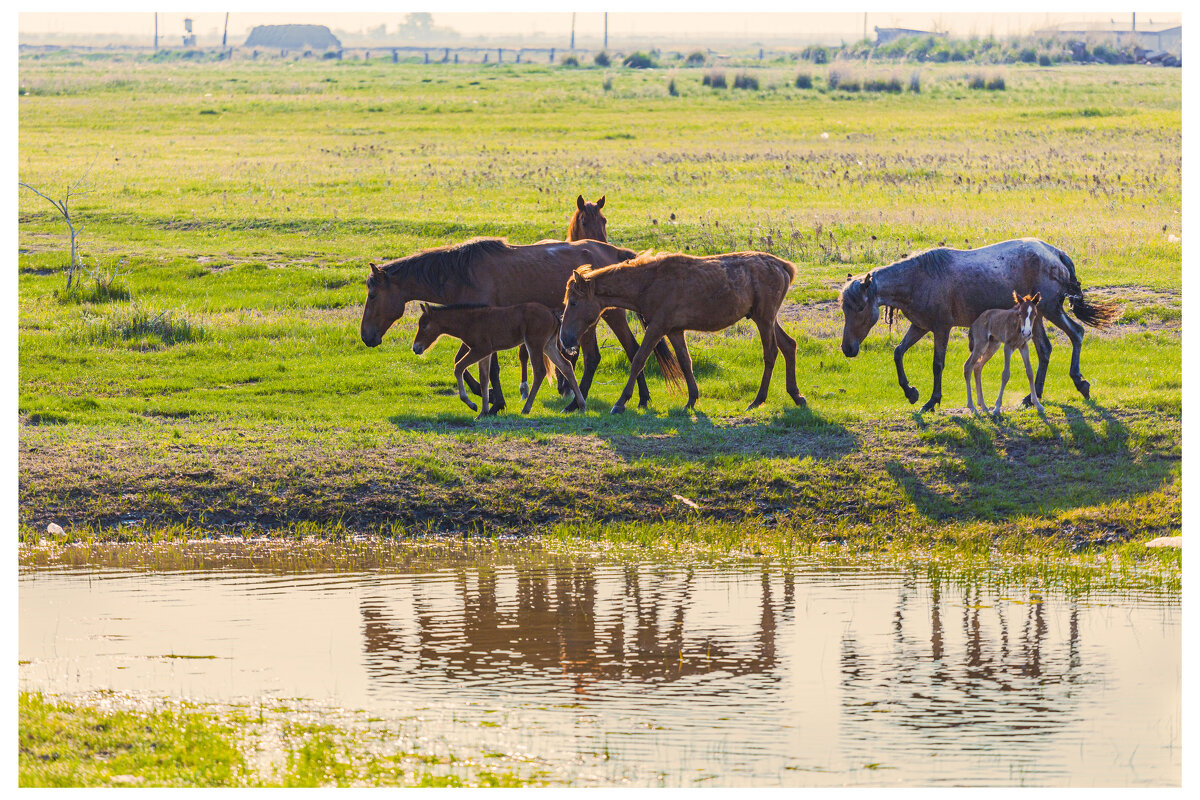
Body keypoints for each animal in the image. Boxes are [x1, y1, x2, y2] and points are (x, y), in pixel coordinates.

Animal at [554, 250, 801, 412]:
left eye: (573, 302)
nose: (565, 339)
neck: (649, 282)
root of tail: (782, 265)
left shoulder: (657, 327)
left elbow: (639, 359)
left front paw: (621, 402)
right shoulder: (674, 331)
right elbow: (685, 362)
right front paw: (691, 399)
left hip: (764, 319)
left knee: (771, 354)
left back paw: (758, 399)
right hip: (765, 319)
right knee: (789, 346)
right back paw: (796, 395)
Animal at [840, 237, 1118, 412]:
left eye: (860, 307)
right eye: (845, 308)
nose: (847, 348)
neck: (918, 279)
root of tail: (1055, 252)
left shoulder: (941, 328)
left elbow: (937, 365)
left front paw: (932, 401)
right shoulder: (920, 326)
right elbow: (898, 353)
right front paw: (911, 392)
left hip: (1050, 310)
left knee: (1076, 334)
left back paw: (1078, 383)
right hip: (1037, 316)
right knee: (1045, 349)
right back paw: (1032, 397)